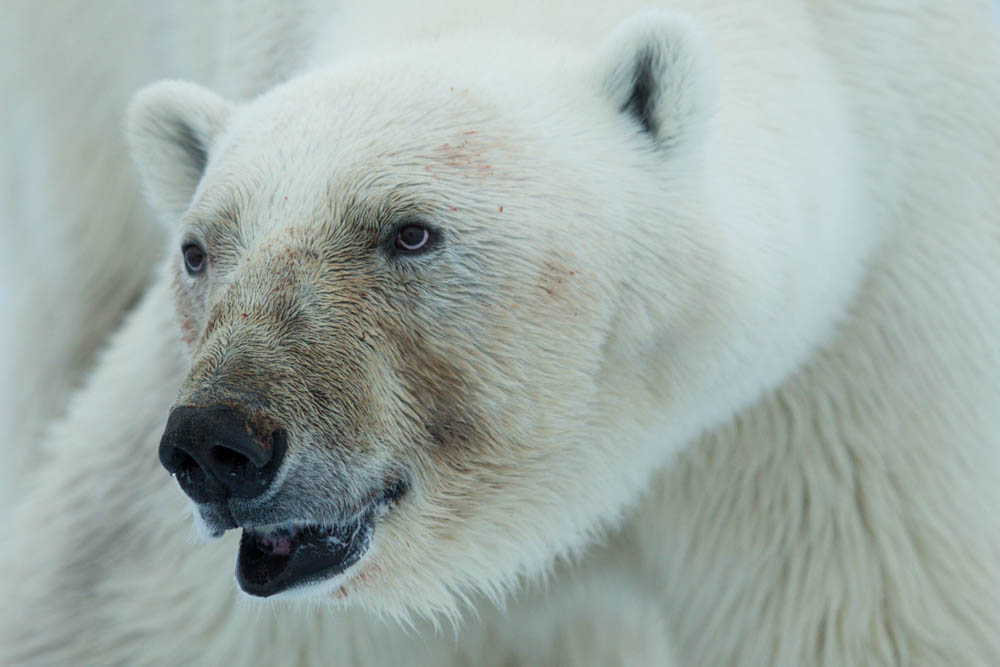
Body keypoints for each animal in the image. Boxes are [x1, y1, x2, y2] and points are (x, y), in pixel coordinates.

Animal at [1, 0, 1000, 664]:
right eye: (201, 248)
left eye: (411, 231)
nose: (217, 442)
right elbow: (113, 602)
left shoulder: (848, 372)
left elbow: (865, 617)